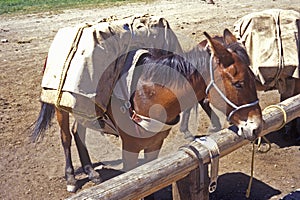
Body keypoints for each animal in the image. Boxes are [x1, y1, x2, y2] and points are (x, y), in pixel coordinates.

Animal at [31, 29, 262, 192]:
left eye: (254, 78)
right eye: (239, 83)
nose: (257, 126)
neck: (150, 93)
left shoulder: (155, 143)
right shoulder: (130, 146)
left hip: (84, 108)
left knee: (78, 132)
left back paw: (91, 172)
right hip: (61, 108)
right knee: (66, 138)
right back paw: (71, 178)